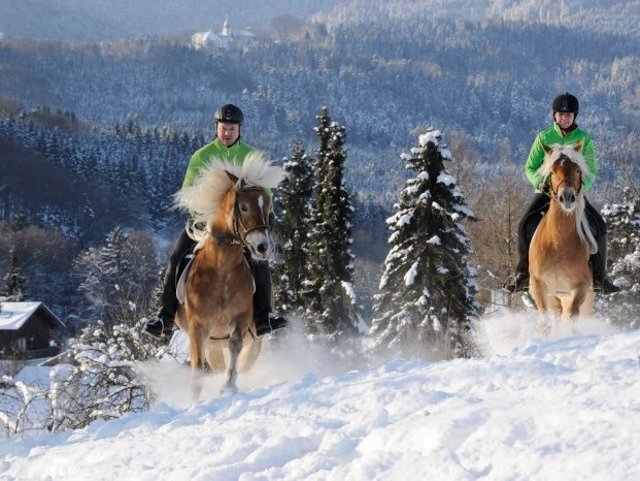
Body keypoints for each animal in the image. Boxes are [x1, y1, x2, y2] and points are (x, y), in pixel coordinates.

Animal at [174, 152, 286, 396]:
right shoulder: (198, 329)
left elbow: (235, 346)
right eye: (243, 207)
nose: (262, 247)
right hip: (213, 345)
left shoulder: (241, 320)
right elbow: (197, 370)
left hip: (252, 341)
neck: (221, 272)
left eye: (267, 205)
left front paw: (228, 385)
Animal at [528, 141, 596, 332]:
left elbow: (572, 315)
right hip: (555, 298)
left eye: (578, 170)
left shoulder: (581, 287)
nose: (567, 197)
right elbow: (544, 319)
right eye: (552, 171)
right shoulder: (539, 286)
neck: (558, 243)